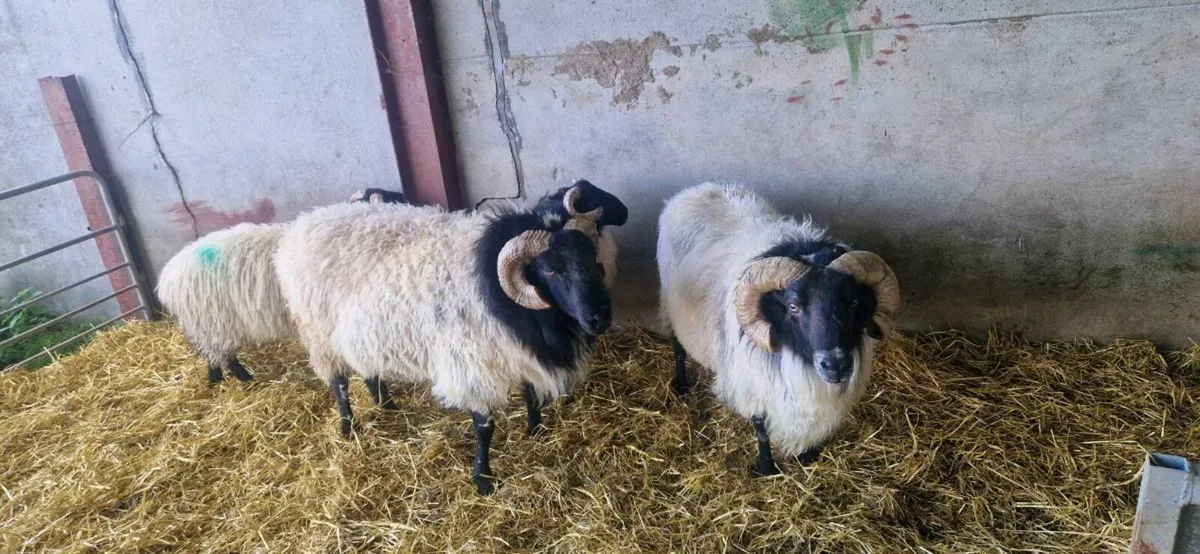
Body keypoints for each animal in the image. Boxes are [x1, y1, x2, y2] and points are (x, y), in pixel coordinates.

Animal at [155, 188, 407, 385]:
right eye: (388, 197)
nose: (405, 197)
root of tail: (166, 280)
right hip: (211, 323)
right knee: (218, 356)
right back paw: (230, 379)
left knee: (218, 355)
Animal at [274, 180, 627, 494]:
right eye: (551, 269)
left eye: (592, 258)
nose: (600, 318)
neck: (491, 283)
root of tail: (303, 223)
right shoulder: (472, 363)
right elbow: (484, 426)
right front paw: (483, 479)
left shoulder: (520, 349)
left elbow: (530, 394)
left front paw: (536, 430)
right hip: (319, 334)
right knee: (339, 383)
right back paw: (348, 427)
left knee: (368, 367)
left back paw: (387, 405)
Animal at [656, 183, 899, 476]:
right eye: (793, 306)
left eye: (853, 302)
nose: (836, 365)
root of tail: (697, 188)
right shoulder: (753, 382)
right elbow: (761, 427)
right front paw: (765, 467)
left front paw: (807, 454)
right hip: (672, 307)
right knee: (678, 346)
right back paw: (681, 385)